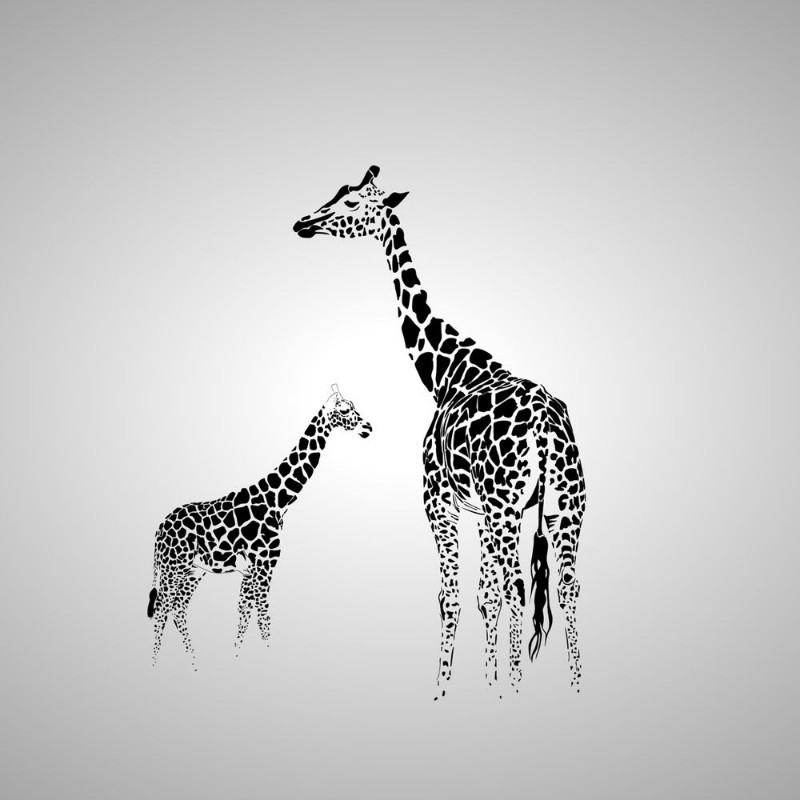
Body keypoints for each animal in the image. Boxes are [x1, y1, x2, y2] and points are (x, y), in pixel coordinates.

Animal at [147, 385, 372, 668]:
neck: (278, 500)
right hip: (172, 567)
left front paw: (236, 660)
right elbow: (263, 616)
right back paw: (156, 665)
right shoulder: (264, 564)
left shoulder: (251, 569)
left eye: (353, 406)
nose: (368, 427)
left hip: (193, 571)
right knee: (161, 609)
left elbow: (245, 613)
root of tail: (159, 527)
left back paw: (195, 664)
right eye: (344, 409)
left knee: (178, 608)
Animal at [294, 168, 586, 696]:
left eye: (351, 203)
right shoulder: (480, 511)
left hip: (510, 509)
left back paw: (521, 689)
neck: (448, 372)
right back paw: (576, 688)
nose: (303, 223)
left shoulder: (438, 500)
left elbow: (454, 597)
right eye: (338, 194)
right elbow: (485, 596)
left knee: (519, 588)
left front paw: (448, 690)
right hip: (564, 507)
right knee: (567, 588)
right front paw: (490, 685)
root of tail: (545, 426)